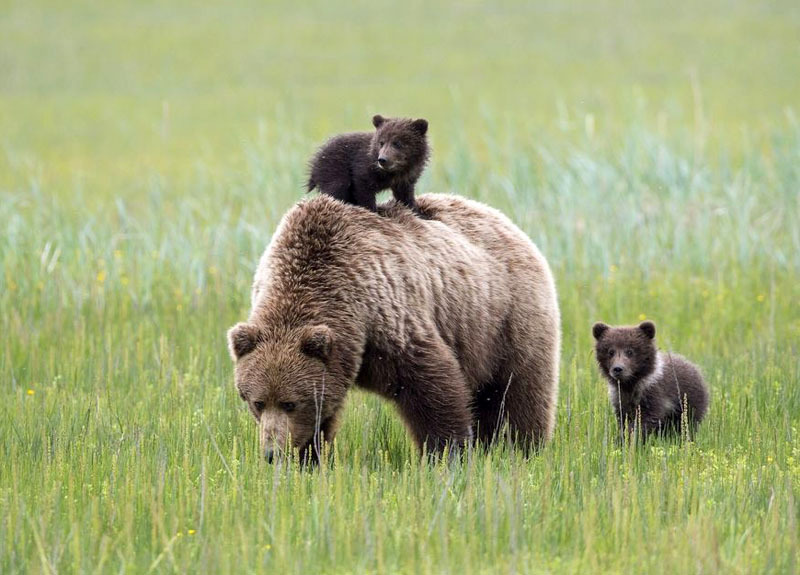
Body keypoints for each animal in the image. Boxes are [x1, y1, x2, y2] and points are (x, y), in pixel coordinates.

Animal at [228, 196, 560, 462]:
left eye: (290, 403)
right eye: (257, 402)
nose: (272, 453)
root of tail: (505, 221)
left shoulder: (387, 318)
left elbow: (434, 388)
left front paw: (447, 454)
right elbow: (323, 415)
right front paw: (310, 460)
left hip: (506, 318)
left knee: (519, 393)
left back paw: (523, 450)